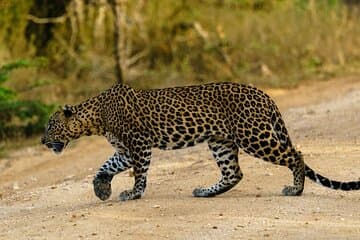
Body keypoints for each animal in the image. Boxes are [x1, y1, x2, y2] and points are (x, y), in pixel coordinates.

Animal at [40, 82, 360, 201]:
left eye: (51, 125)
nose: (42, 141)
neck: (95, 118)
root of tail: (264, 94)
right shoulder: (124, 150)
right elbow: (104, 167)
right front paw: (101, 189)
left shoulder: (139, 145)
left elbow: (140, 174)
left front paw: (133, 193)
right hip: (220, 141)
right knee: (234, 173)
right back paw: (206, 192)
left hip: (254, 136)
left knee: (297, 155)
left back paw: (296, 189)